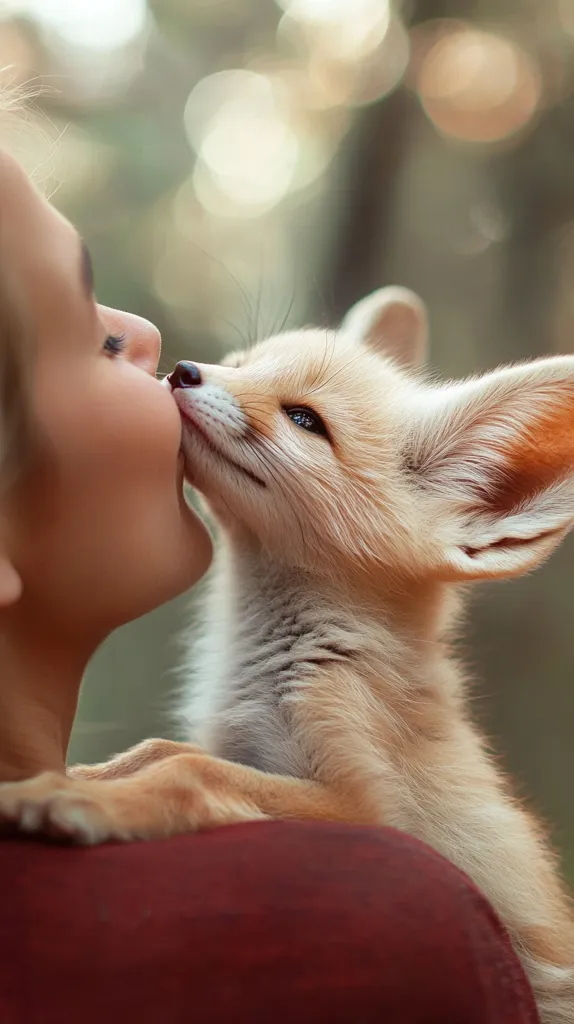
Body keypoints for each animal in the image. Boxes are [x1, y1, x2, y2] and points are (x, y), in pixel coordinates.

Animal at [0, 286, 573, 1022]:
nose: (182, 370)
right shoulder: (242, 747)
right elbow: (160, 750)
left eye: (305, 419)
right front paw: (77, 778)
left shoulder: (370, 810)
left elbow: (191, 772)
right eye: (243, 362)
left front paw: (81, 800)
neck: (270, 670)